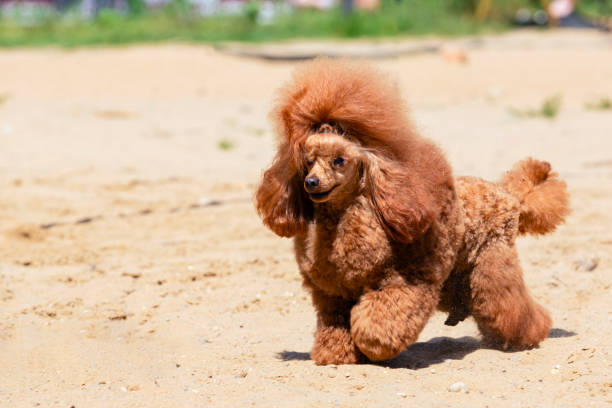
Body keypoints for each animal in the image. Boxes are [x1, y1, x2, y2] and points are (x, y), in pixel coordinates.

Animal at [253, 58, 568, 366]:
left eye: (339, 160)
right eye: (307, 162)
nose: (311, 183)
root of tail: (510, 195)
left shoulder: (407, 281)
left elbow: (376, 324)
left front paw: (373, 345)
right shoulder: (332, 293)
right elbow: (335, 324)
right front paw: (335, 355)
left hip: (491, 262)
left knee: (507, 303)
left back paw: (526, 335)